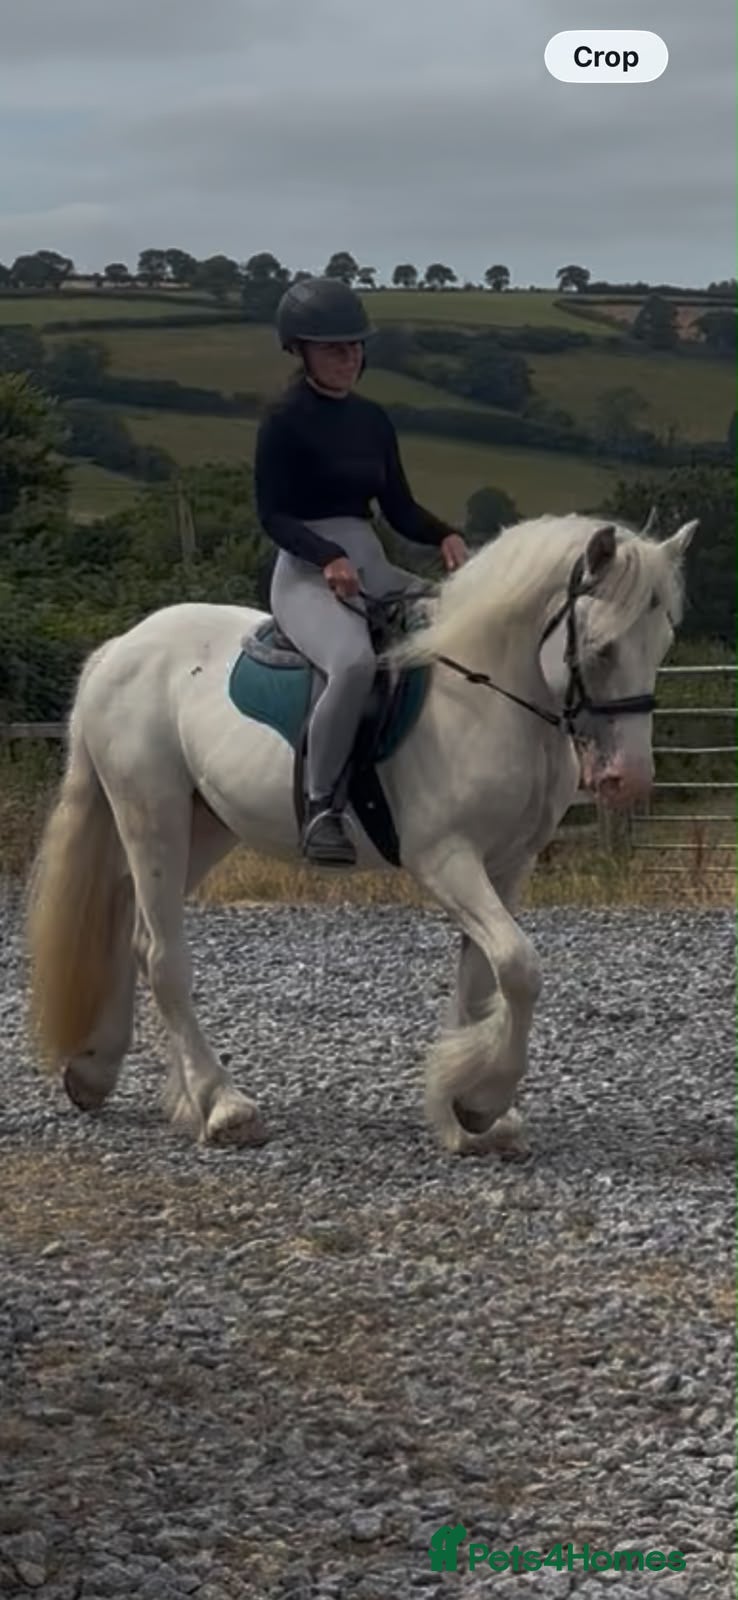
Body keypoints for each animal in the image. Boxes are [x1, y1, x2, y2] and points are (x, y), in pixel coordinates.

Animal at [24, 510, 697, 1158]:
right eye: (603, 649)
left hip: (204, 824)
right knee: (163, 955)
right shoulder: (446, 859)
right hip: (152, 814)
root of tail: (120, 648)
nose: (630, 779)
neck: (483, 693)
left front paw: (463, 1115)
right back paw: (221, 1104)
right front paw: (483, 1102)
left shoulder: (508, 865)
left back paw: (97, 1071)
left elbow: (481, 980)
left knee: (129, 929)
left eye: (663, 642)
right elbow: (519, 967)